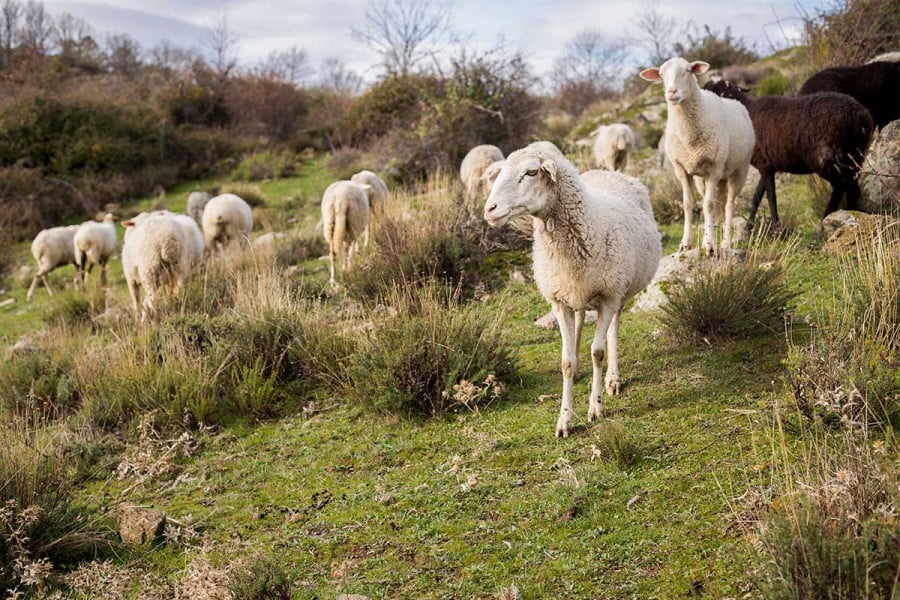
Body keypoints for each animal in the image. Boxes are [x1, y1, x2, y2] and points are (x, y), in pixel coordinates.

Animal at [486, 143, 660, 438]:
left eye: (531, 172)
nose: (490, 209)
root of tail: (606, 171)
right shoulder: (559, 301)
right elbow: (565, 362)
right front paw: (564, 419)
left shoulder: (609, 296)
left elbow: (598, 353)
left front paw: (596, 408)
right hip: (577, 294)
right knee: (579, 319)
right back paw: (580, 368)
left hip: (620, 292)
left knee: (613, 329)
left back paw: (613, 379)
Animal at [636, 59, 756, 256]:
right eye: (661, 74)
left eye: (687, 71)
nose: (671, 92)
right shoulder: (681, 169)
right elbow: (688, 204)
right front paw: (687, 243)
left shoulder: (714, 167)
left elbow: (708, 205)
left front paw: (710, 245)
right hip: (707, 178)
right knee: (718, 203)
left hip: (738, 170)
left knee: (729, 204)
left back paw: (725, 242)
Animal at [704, 78, 872, 221]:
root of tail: (858, 115)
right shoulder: (768, 166)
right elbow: (757, 197)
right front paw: (748, 228)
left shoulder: (764, 165)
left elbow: (771, 198)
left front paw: (774, 228)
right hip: (854, 155)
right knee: (853, 188)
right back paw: (853, 214)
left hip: (822, 159)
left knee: (839, 186)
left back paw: (823, 225)